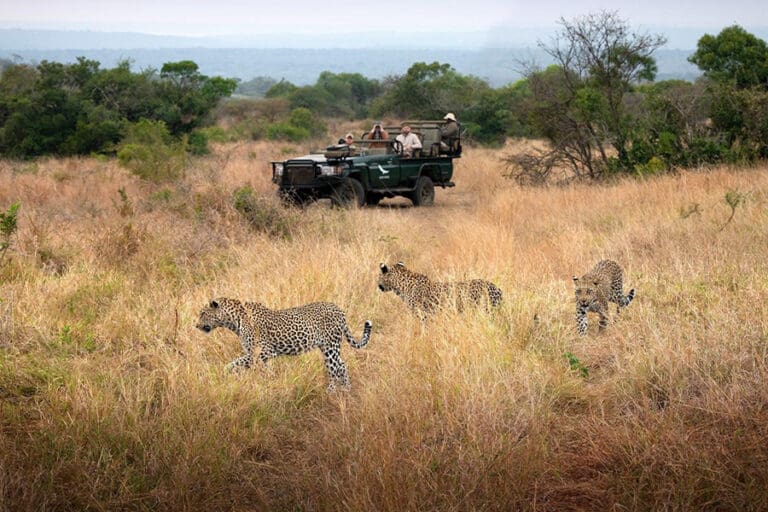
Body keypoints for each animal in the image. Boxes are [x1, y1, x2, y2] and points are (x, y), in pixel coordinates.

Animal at [196, 297, 372, 391]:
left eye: (203, 314)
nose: (196, 325)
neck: (232, 321)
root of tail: (338, 309)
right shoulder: (255, 355)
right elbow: (237, 365)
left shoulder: (262, 353)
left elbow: (245, 366)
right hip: (328, 347)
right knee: (341, 365)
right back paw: (347, 389)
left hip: (330, 347)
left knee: (334, 369)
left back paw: (331, 391)